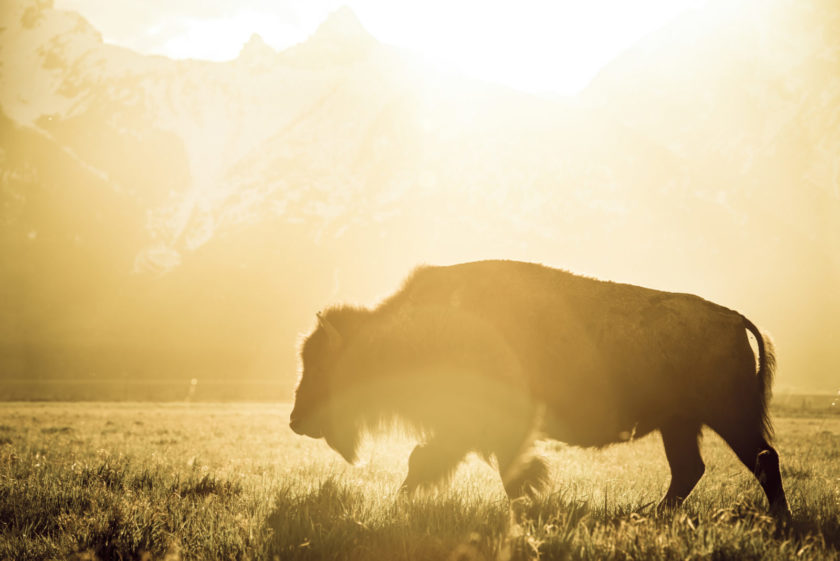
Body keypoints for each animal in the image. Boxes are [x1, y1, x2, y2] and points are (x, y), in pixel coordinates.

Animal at [288, 260, 788, 520]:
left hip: (726, 416)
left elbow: (466, 464)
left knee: (761, 458)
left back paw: (777, 520)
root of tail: (732, 319)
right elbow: (430, 460)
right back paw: (652, 513)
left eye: (322, 363)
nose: (296, 420)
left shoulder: (485, 425)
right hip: (679, 424)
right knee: (691, 469)